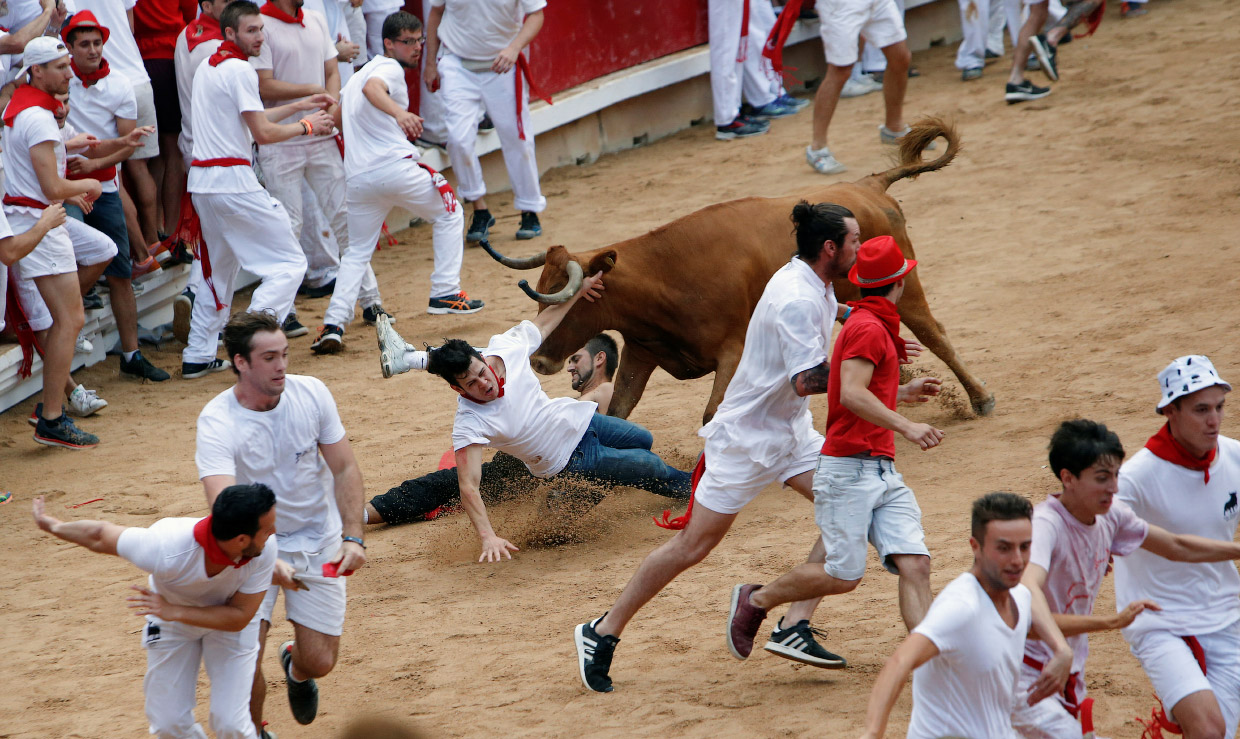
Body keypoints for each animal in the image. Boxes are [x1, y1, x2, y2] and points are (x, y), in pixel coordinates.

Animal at [478, 117, 992, 424]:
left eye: (570, 300)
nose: (538, 361)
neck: (664, 280)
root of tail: (869, 185)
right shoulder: (643, 353)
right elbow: (617, 414)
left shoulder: (734, 350)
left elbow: (713, 414)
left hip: (906, 286)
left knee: (933, 332)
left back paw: (980, 398)